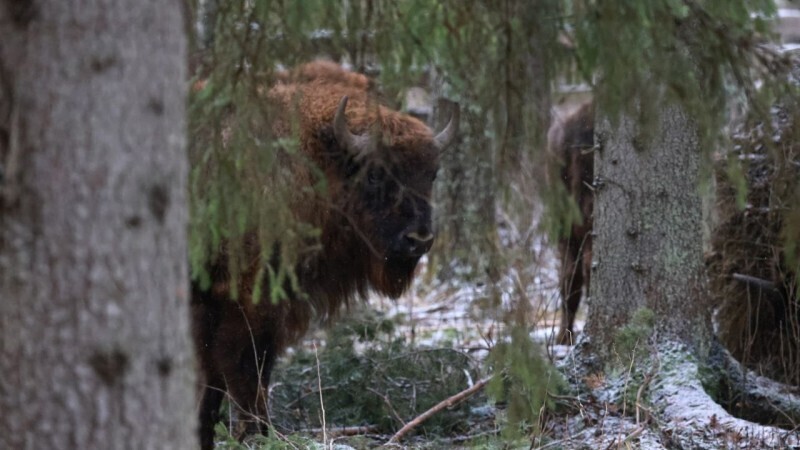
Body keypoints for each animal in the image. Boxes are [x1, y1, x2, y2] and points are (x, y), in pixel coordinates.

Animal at [190, 60, 460, 450]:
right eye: (375, 173)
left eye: (432, 174)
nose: (419, 239)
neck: (315, 161)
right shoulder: (251, 300)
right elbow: (244, 368)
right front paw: (257, 434)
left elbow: (218, 379)